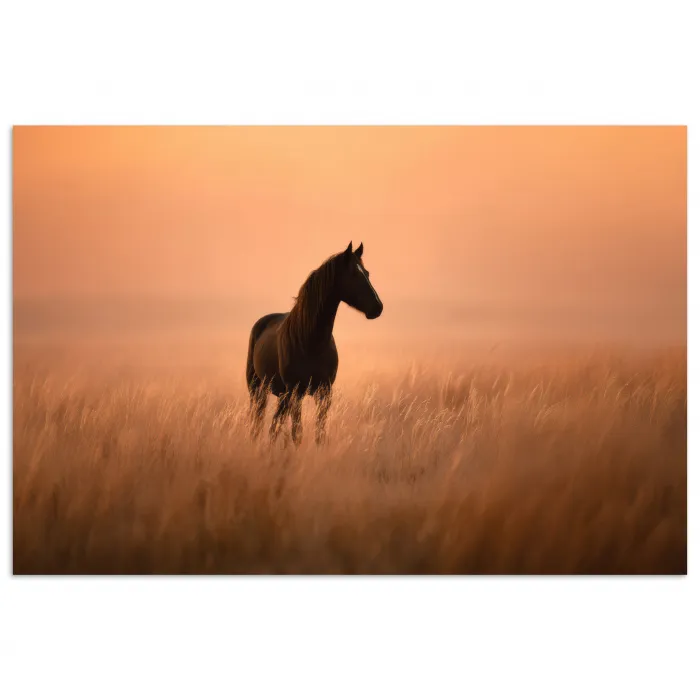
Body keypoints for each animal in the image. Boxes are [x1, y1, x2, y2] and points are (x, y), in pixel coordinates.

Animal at [245, 241, 383, 446]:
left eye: (366, 272)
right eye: (353, 274)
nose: (378, 307)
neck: (311, 342)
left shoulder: (324, 393)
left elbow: (320, 433)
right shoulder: (296, 393)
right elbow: (297, 433)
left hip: (282, 395)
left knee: (274, 425)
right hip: (258, 389)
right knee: (259, 422)